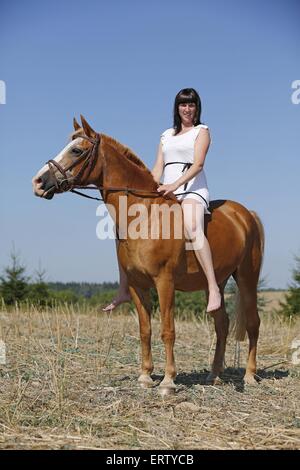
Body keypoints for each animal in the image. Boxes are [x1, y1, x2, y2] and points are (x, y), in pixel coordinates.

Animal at [31, 115, 264, 394]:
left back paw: (249, 375)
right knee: (222, 323)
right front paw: (145, 376)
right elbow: (145, 330)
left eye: (77, 150)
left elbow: (167, 330)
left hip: (247, 277)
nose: (38, 182)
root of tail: (246, 214)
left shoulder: (165, 283)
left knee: (252, 322)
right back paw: (214, 375)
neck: (146, 215)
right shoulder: (137, 285)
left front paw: (168, 381)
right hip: (215, 283)